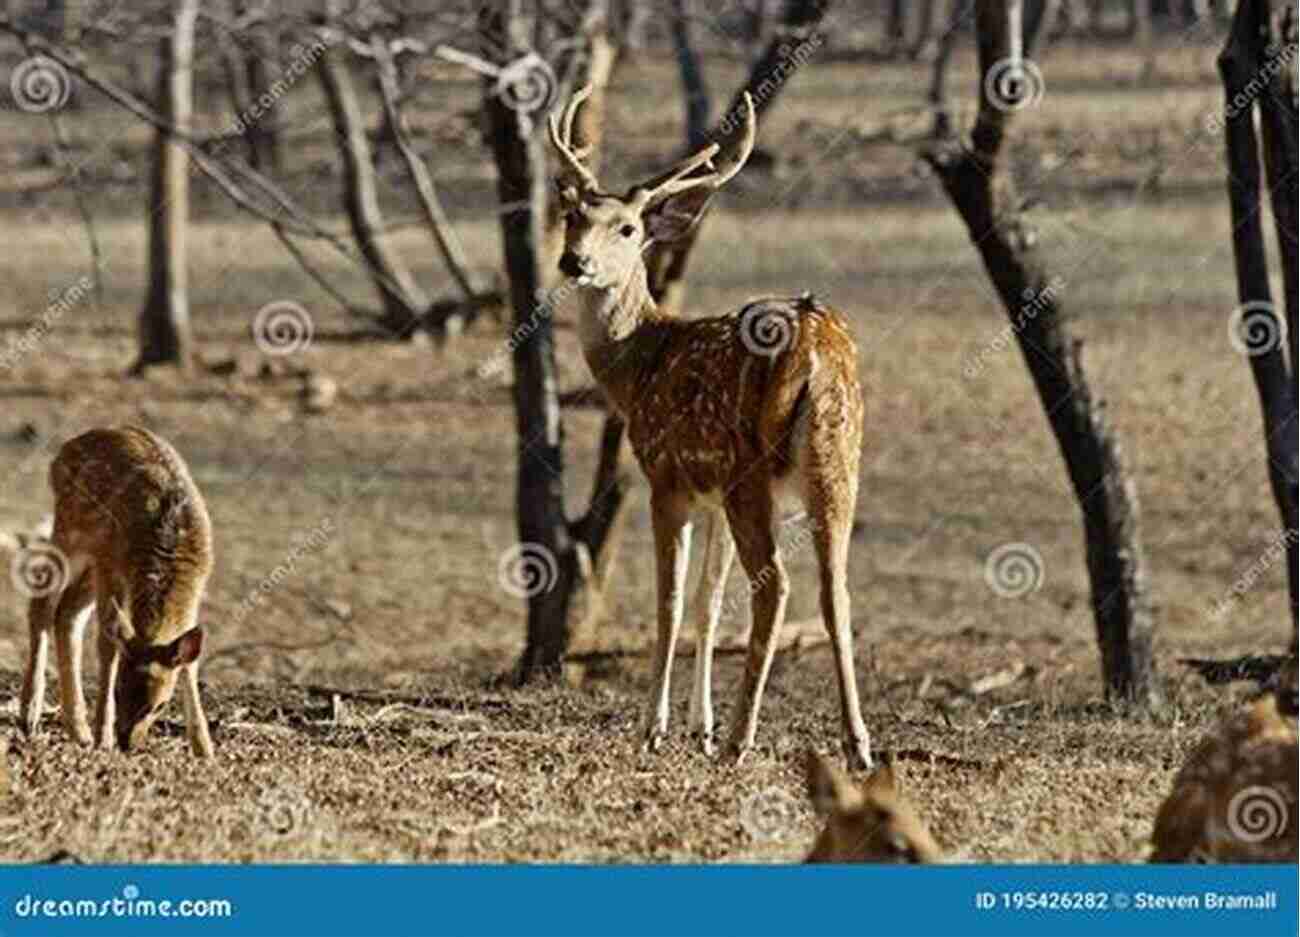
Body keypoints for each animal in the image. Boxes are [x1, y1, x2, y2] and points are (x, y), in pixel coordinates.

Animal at [18, 428, 215, 758]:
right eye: (119, 690)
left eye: (160, 706)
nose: (127, 742)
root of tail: (64, 450)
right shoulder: (111, 567)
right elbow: (107, 643)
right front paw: (103, 737)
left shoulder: (197, 586)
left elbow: (189, 662)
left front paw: (204, 748)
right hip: (71, 531)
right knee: (43, 601)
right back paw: (30, 717)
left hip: (91, 562)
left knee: (68, 612)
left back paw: (78, 730)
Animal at [548, 83, 873, 764]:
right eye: (572, 217)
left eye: (628, 227)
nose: (573, 261)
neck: (637, 368)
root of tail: (815, 348)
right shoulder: (712, 493)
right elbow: (708, 600)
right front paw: (697, 727)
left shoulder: (669, 477)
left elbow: (671, 601)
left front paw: (655, 728)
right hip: (838, 461)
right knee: (835, 588)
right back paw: (857, 744)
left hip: (752, 470)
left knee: (775, 586)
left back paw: (740, 739)